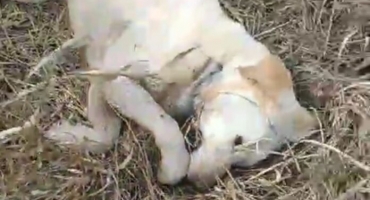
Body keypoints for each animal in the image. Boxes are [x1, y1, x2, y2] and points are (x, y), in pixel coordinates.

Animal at [16, 0, 318, 188]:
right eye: (238, 140)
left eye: (242, 163)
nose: (198, 185)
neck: (207, 60)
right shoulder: (114, 79)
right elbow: (162, 127)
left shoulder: (103, 81)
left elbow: (108, 132)